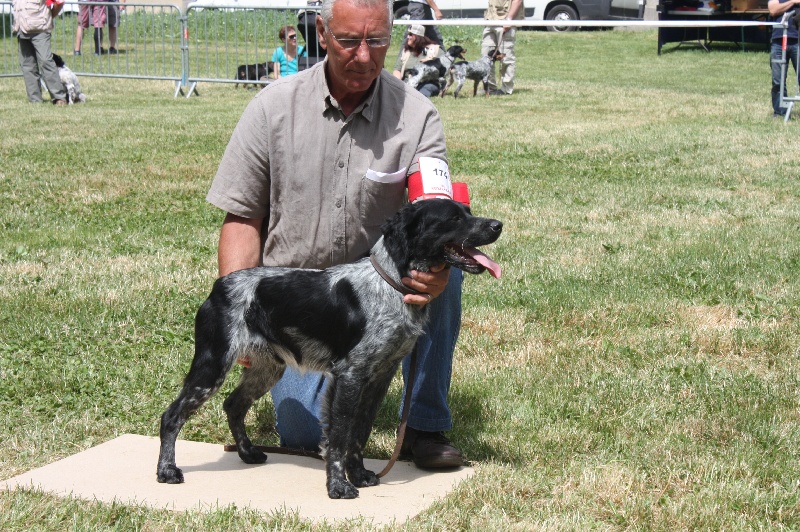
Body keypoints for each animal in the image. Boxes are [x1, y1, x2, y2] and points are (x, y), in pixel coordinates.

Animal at [155, 198, 500, 498]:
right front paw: (339, 486)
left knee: (233, 405)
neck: (389, 284)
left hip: (268, 369)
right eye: (453, 218)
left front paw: (358, 475)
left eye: (468, 211)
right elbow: (339, 436)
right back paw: (167, 471)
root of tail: (219, 286)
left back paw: (248, 452)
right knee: (171, 416)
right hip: (212, 365)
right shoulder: (350, 374)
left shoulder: (378, 376)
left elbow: (359, 433)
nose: (498, 225)